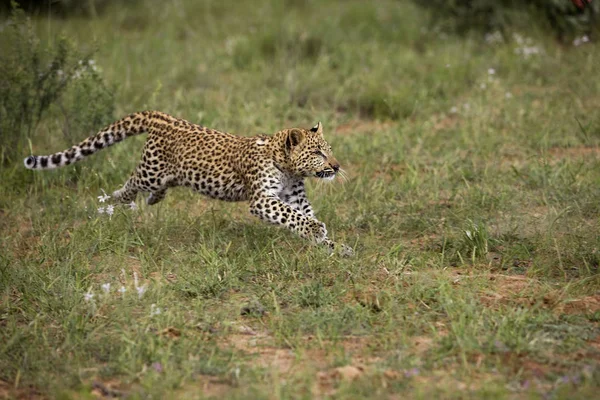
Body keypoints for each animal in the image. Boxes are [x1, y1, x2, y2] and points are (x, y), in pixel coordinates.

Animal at [24, 111, 352, 255]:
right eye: (318, 153)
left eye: (329, 150)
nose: (336, 166)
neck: (288, 169)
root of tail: (163, 117)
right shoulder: (262, 199)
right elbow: (293, 217)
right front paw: (317, 232)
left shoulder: (296, 197)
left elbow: (302, 215)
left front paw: (333, 245)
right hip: (151, 170)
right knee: (130, 183)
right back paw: (114, 202)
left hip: (167, 174)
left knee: (157, 186)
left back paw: (153, 199)